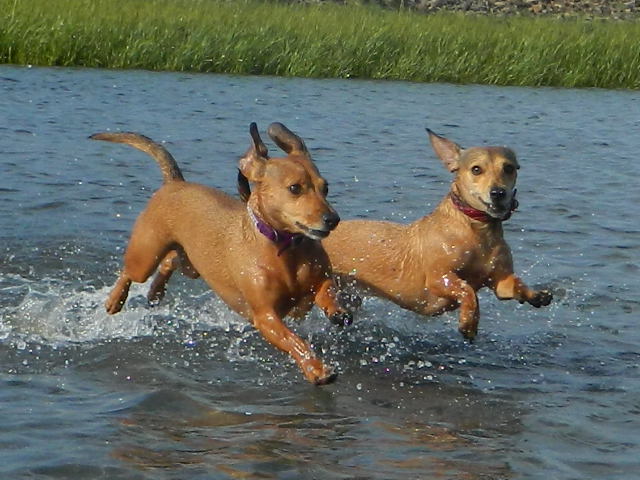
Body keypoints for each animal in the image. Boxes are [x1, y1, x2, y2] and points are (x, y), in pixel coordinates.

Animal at [90, 123, 350, 382]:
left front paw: (338, 311)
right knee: (130, 272)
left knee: (170, 260)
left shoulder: (320, 281)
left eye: (325, 187)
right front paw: (316, 369)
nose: (333, 219)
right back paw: (115, 300)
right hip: (145, 257)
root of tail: (174, 183)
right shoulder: (266, 316)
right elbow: (294, 341)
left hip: (193, 263)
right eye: (295, 188)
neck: (286, 250)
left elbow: (327, 290)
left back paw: (156, 291)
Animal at [324, 129, 552, 340]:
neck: (477, 230)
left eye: (509, 168)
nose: (498, 193)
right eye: (476, 169)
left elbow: (514, 283)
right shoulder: (439, 278)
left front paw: (535, 294)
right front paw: (469, 322)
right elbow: (467, 290)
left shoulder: (500, 281)